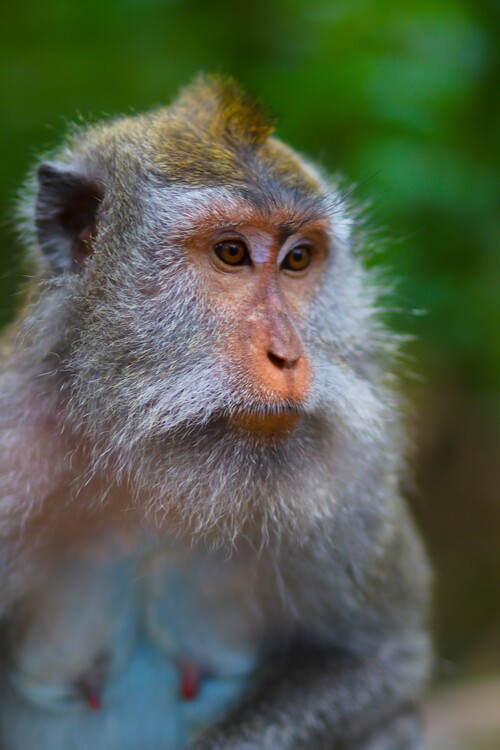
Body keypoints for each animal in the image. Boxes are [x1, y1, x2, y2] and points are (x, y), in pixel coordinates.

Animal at [0, 75, 431, 750]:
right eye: (230, 252)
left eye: (298, 259)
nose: (288, 355)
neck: (140, 452)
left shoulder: (352, 478)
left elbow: (379, 659)